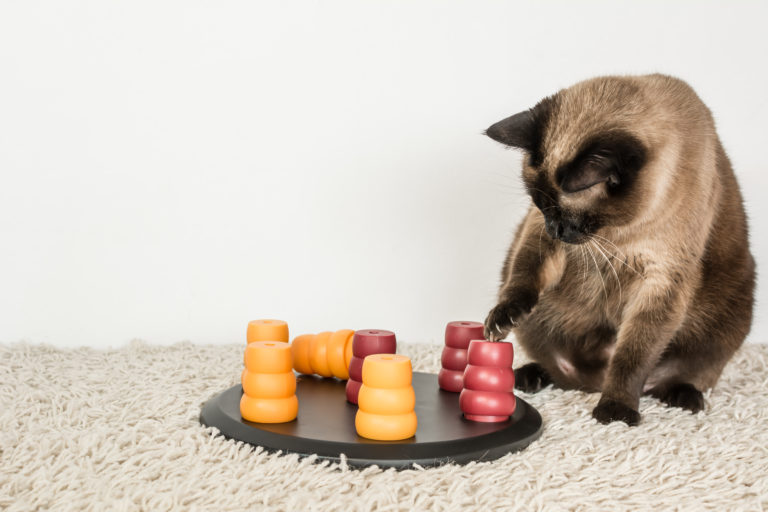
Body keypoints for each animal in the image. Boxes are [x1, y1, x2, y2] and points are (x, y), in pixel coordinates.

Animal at [486, 72, 756, 424]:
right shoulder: (538, 237)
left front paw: (615, 412)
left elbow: (631, 359)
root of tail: (594, 382)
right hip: (538, 322)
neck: (619, 233)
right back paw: (528, 377)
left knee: (676, 377)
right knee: (558, 371)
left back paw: (685, 398)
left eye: (567, 216)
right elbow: (523, 277)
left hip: (727, 319)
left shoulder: (660, 280)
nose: (555, 230)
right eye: (542, 207)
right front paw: (501, 319)